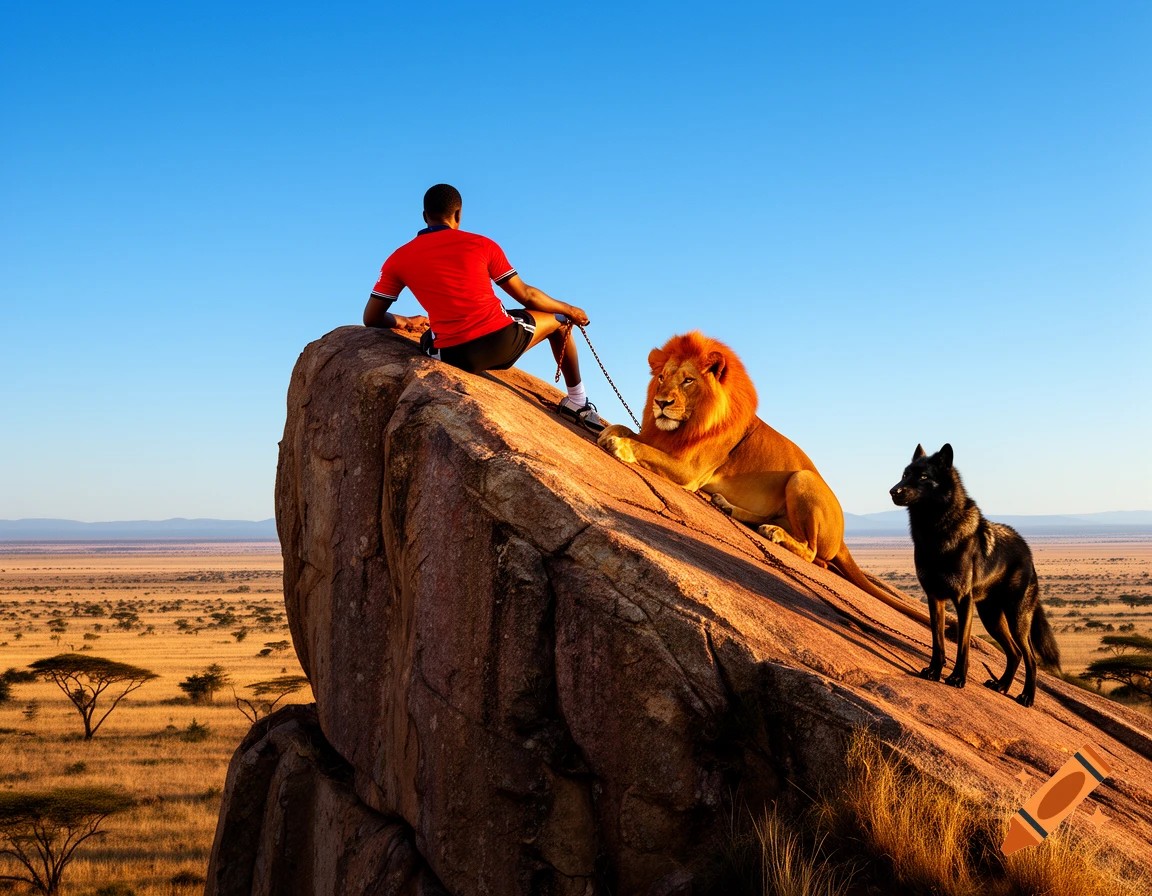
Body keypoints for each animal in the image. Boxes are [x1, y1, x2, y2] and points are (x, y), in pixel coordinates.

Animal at [597, 330, 930, 626]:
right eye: (661, 378)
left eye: (688, 380)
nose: (661, 403)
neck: (686, 424)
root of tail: (844, 539)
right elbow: (628, 430)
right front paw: (609, 430)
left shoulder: (689, 469)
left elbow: (641, 447)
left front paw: (619, 445)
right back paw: (728, 507)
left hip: (802, 479)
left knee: (813, 554)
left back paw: (774, 534)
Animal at [889, 443, 1061, 707]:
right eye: (905, 474)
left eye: (923, 477)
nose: (893, 491)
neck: (935, 531)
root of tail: (1028, 552)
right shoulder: (934, 598)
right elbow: (938, 642)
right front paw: (934, 672)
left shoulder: (963, 600)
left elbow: (962, 646)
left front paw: (958, 678)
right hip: (992, 619)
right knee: (1015, 653)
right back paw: (1001, 686)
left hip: (1016, 618)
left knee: (1030, 657)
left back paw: (1026, 696)